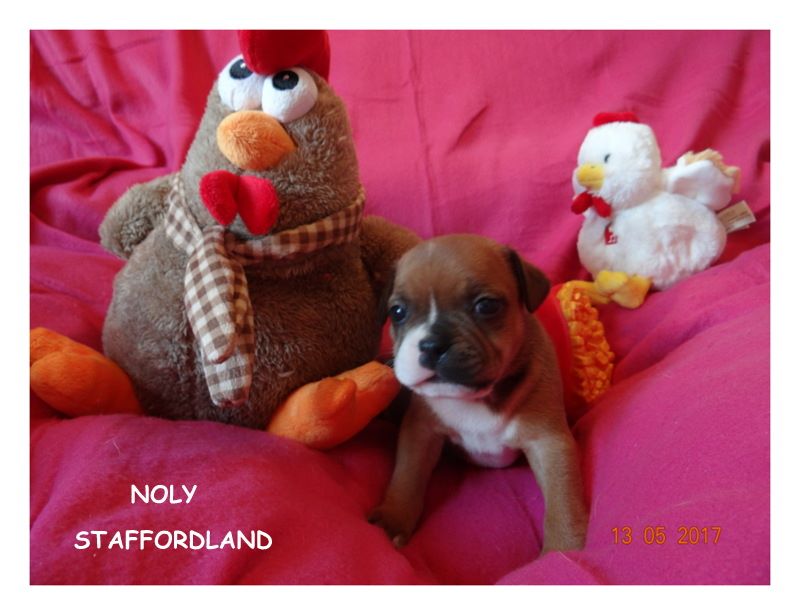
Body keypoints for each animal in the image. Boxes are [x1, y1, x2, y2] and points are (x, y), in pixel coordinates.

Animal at [369, 234, 588, 553]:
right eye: (397, 312)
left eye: (486, 306)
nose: (433, 344)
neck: (473, 398)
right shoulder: (420, 432)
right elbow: (407, 475)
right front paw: (392, 519)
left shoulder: (549, 443)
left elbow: (563, 499)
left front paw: (564, 549)